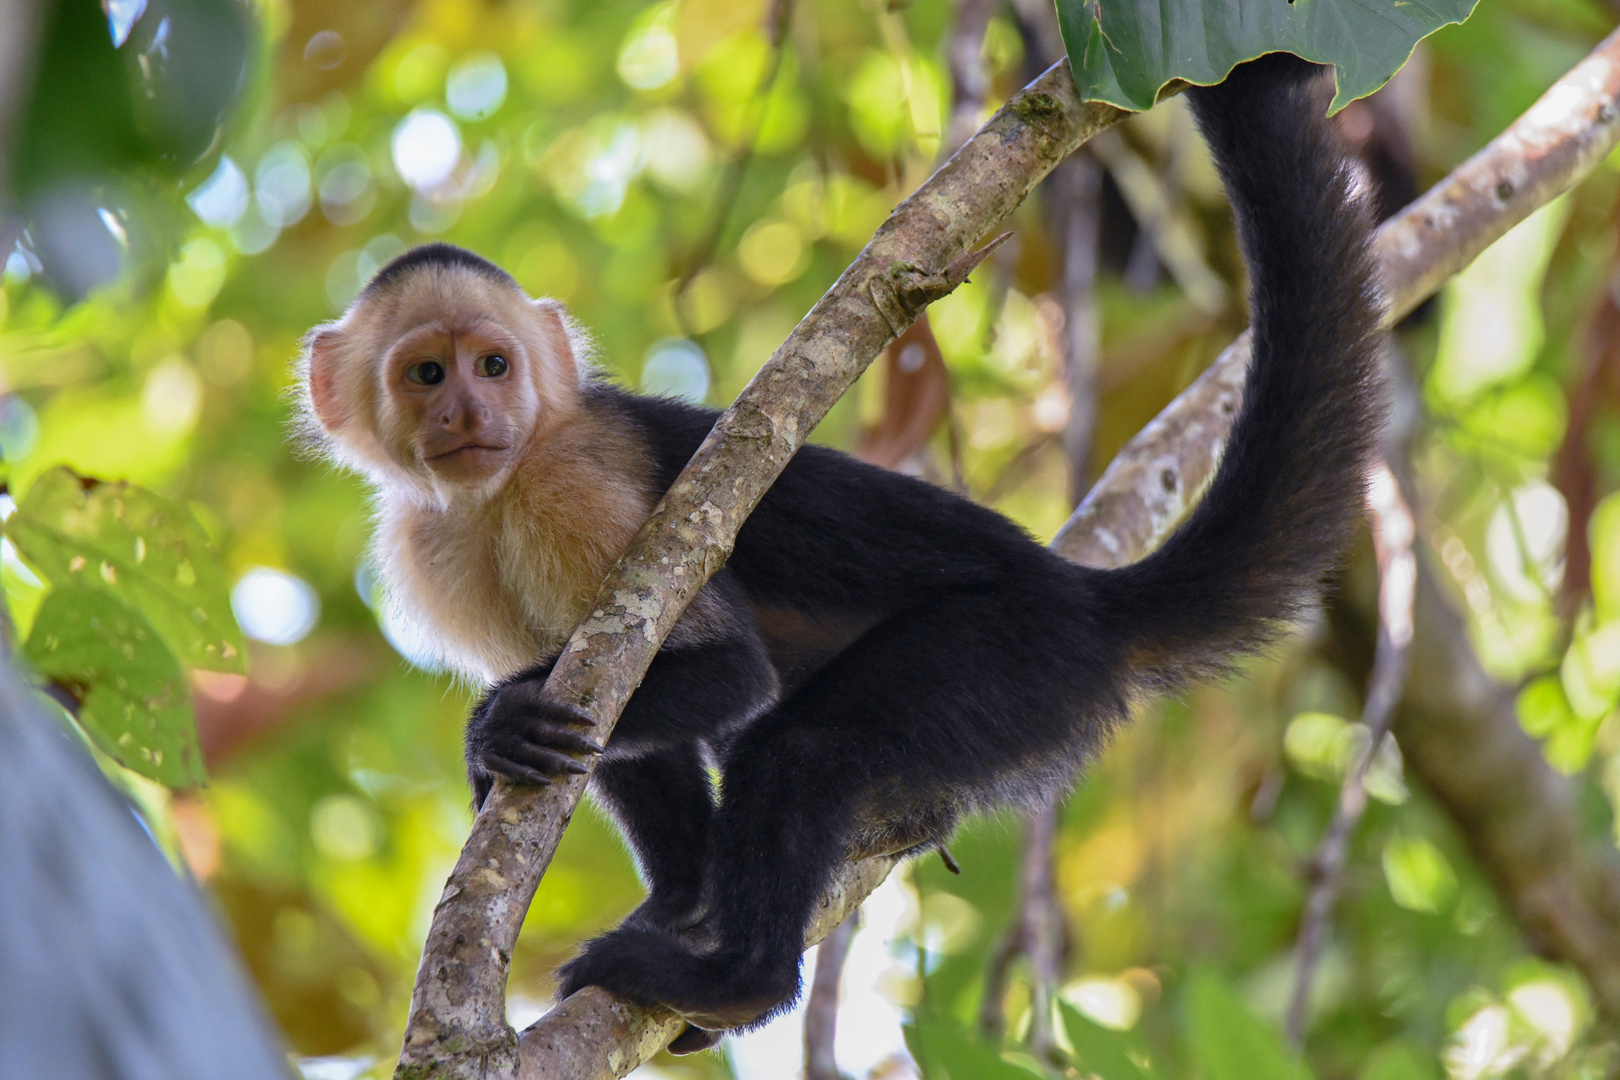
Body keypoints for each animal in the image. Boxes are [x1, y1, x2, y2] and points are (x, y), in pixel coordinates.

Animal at [298, 57, 1386, 1049]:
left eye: (492, 365)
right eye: (427, 374)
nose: (468, 414)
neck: (500, 490)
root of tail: (1081, 598)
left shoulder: (578, 479)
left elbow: (724, 672)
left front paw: (497, 731)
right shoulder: (435, 551)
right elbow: (608, 715)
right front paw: (674, 886)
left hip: (1013, 658)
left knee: (800, 746)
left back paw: (740, 980)